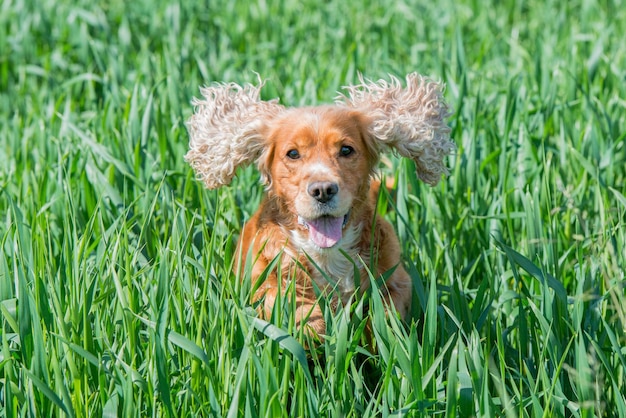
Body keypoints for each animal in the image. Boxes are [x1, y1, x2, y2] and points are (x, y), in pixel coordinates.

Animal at [183, 73, 450, 338]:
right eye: (293, 153)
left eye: (346, 149)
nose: (323, 190)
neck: (327, 255)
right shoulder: (264, 281)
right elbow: (293, 308)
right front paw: (324, 329)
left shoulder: (398, 278)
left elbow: (385, 313)